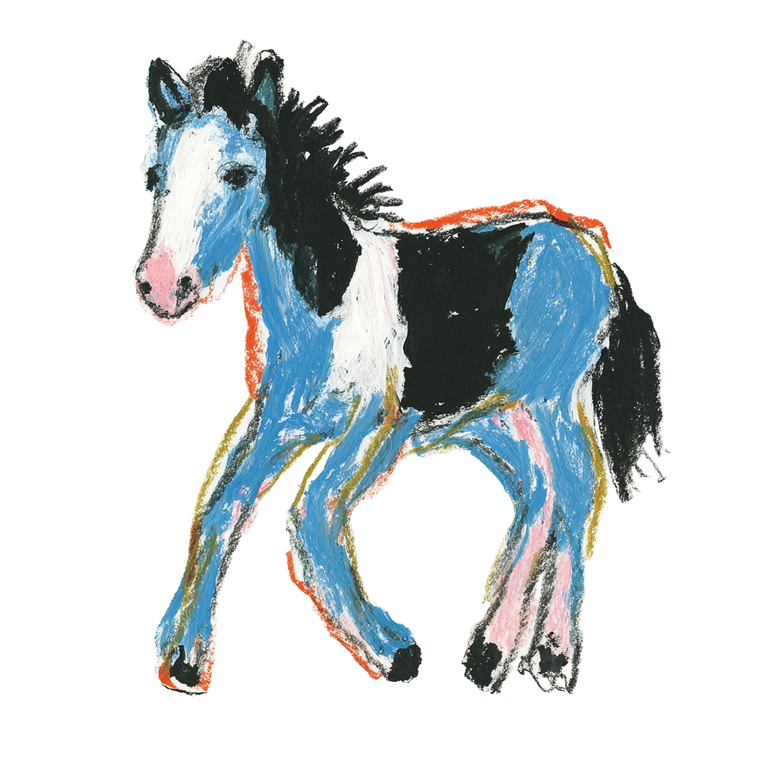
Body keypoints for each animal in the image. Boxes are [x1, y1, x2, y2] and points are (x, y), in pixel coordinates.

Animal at [133, 39, 666, 697]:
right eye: (154, 176)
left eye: (239, 174)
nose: (161, 287)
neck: (326, 309)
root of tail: (598, 253)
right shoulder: (279, 421)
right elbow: (220, 500)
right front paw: (183, 657)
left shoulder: (379, 424)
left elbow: (311, 511)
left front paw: (393, 652)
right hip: (498, 420)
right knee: (543, 496)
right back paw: (500, 653)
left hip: (552, 401)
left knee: (576, 488)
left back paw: (549, 657)